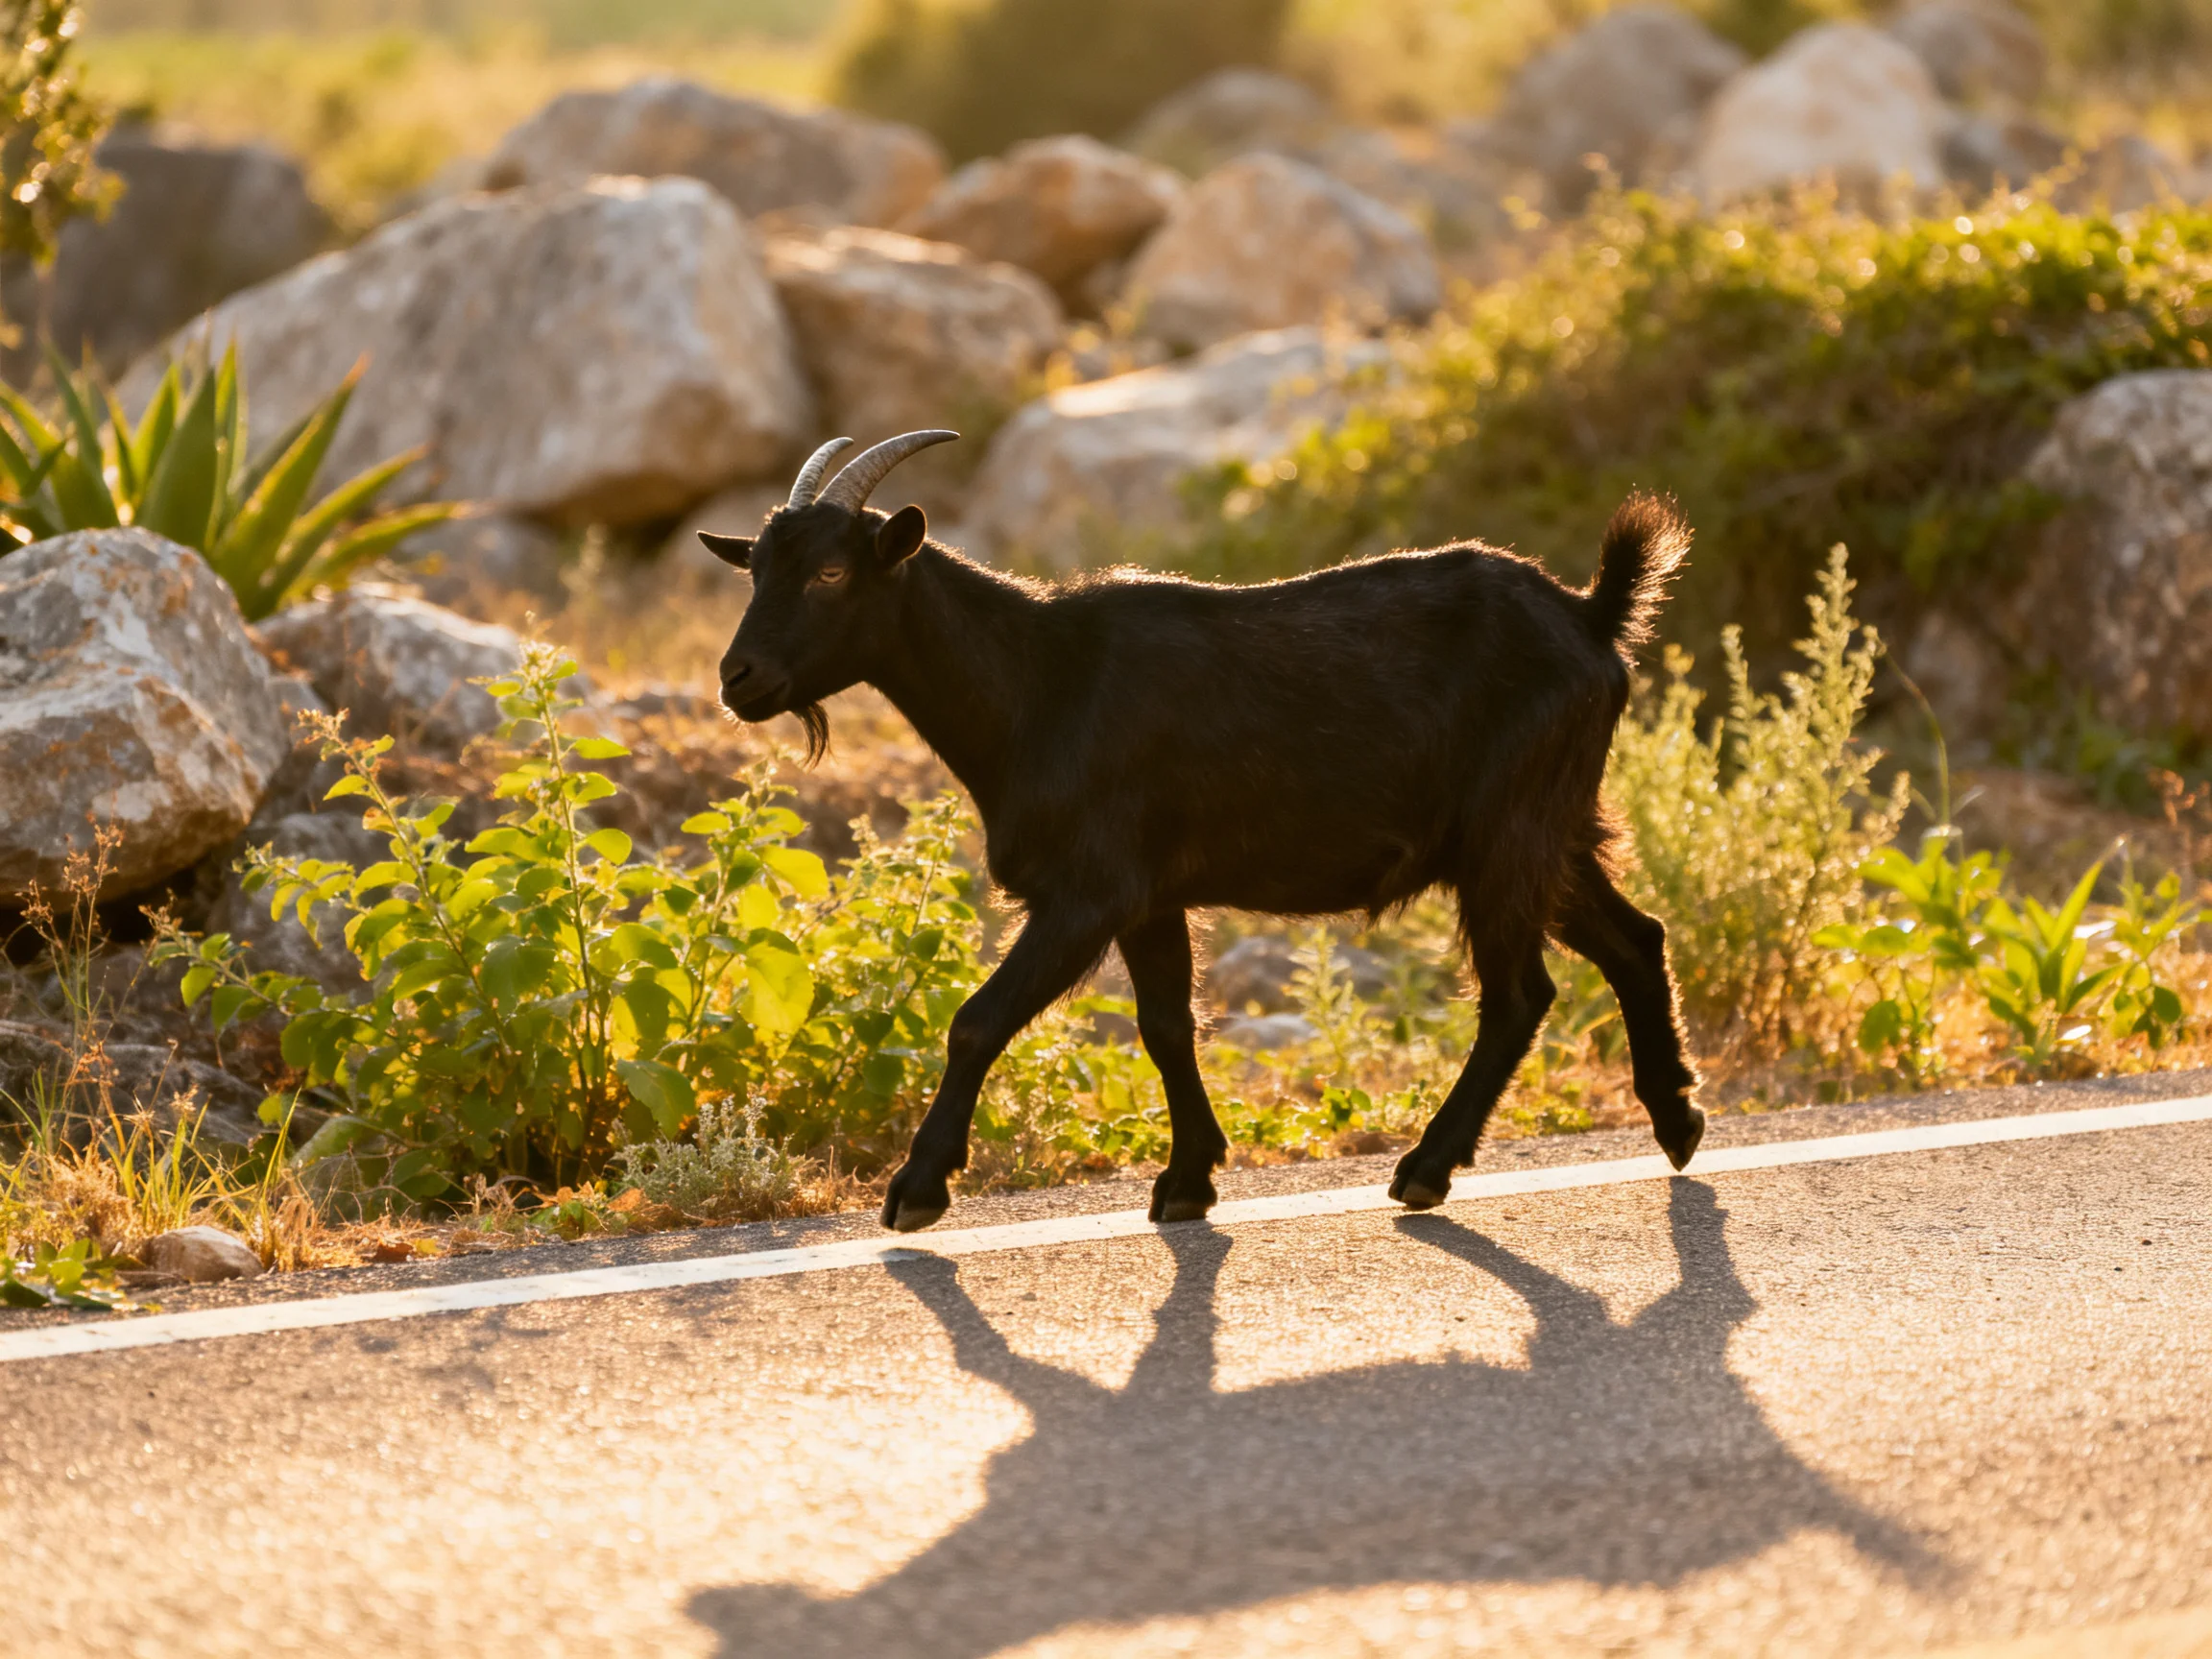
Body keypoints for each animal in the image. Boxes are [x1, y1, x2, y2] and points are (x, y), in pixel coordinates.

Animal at [705, 430, 1702, 1233]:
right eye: (753, 570)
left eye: (832, 572)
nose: (737, 678)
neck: (1035, 684)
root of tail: (1591, 615)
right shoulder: (1151, 897)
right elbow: (1167, 1026)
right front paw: (1187, 1182)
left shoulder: (1088, 891)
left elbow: (977, 1021)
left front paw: (918, 1189)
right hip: (1551, 831)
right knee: (1635, 938)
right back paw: (1678, 1120)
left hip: (1511, 830)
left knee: (1520, 993)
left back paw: (1427, 1167)